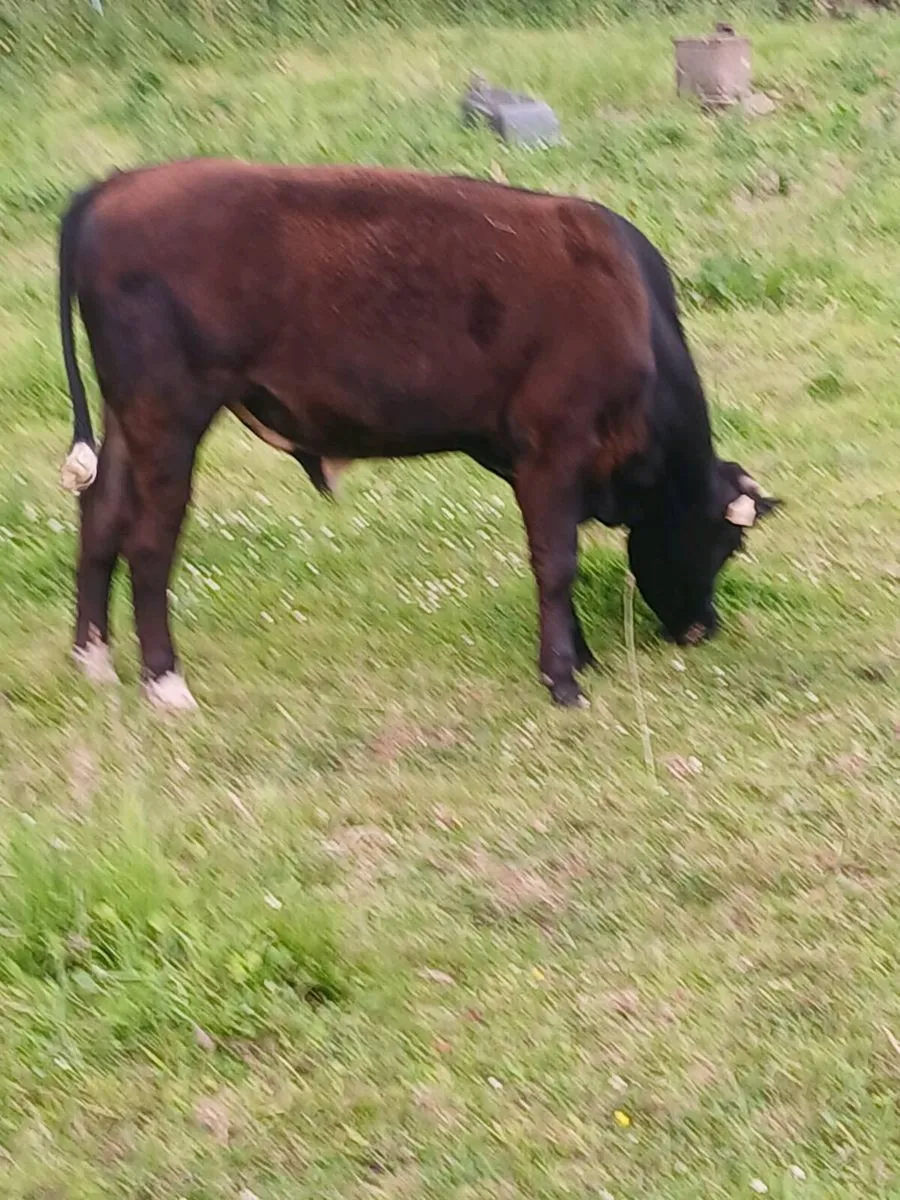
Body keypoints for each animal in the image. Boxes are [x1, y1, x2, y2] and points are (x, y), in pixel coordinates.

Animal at [57, 158, 779, 711]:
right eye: (725, 544)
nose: (703, 628)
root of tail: (115, 185)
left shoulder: (527, 463)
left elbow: (552, 558)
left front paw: (579, 656)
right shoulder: (556, 449)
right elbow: (557, 564)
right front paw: (564, 680)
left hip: (127, 415)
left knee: (101, 516)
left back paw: (93, 661)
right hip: (168, 414)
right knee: (149, 542)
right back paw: (164, 682)